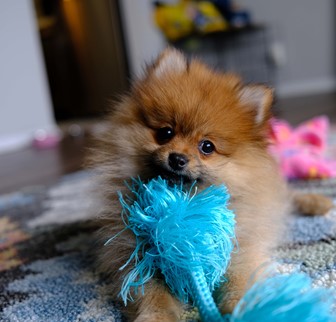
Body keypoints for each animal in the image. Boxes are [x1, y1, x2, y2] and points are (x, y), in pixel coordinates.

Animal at [89, 48, 334, 322]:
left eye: (207, 147)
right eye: (165, 133)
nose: (177, 158)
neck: (186, 204)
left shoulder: (238, 248)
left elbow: (238, 283)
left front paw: (242, 309)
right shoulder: (139, 256)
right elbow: (152, 294)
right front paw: (155, 316)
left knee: (289, 196)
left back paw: (318, 202)